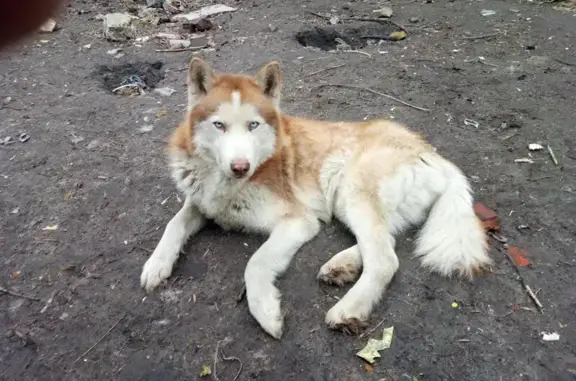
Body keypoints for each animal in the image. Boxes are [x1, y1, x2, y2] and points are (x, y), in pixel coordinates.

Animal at [141, 58, 490, 338]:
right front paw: (156, 264)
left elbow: (255, 263)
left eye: (253, 125)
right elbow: (175, 223)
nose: (240, 167)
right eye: (219, 125)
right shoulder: (202, 202)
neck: (226, 182)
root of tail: (431, 153)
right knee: (385, 241)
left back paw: (348, 309)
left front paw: (266, 311)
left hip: (349, 189)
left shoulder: (298, 221)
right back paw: (342, 265)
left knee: (385, 259)